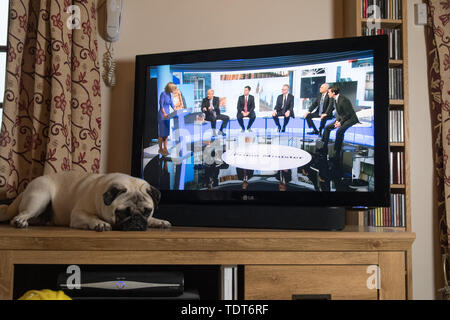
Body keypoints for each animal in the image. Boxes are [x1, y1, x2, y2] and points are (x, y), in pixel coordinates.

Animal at [0, 171, 171, 231]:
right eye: (123, 213)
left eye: (147, 211)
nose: (136, 220)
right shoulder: (78, 215)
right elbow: (91, 217)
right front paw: (100, 223)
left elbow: (153, 220)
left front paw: (159, 221)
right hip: (40, 198)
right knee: (19, 215)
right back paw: (20, 222)